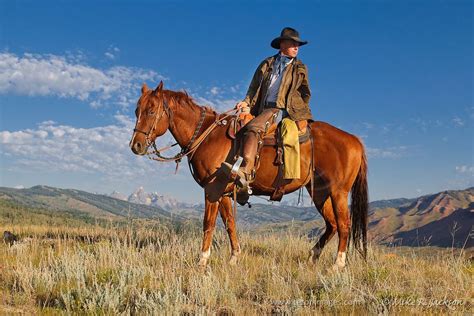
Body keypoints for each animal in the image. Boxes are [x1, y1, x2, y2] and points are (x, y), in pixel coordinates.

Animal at [131, 81, 368, 270]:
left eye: (151, 111)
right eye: (136, 111)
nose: (136, 145)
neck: (208, 136)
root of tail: (355, 140)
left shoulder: (212, 190)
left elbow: (208, 224)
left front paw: (202, 261)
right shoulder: (224, 194)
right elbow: (229, 223)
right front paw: (234, 257)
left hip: (338, 192)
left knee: (344, 225)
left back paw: (337, 265)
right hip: (319, 193)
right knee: (332, 225)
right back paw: (312, 257)